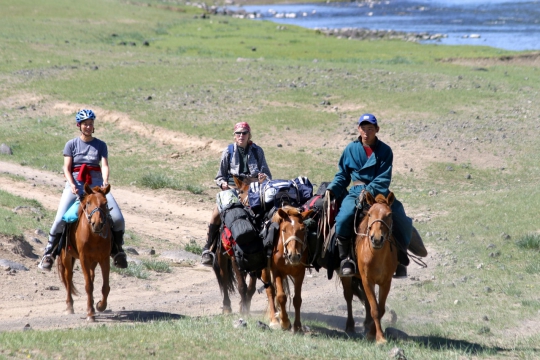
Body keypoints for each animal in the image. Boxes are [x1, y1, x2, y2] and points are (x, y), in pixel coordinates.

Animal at [57, 184, 112, 322]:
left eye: (105, 203)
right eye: (88, 203)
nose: (97, 223)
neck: (94, 236)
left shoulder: (104, 259)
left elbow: (105, 286)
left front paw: (100, 306)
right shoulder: (84, 258)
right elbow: (88, 286)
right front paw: (90, 314)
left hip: (93, 261)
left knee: (91, 276)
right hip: (67, 256)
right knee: (68, 277)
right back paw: (69, 306)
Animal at [344, 191, 398, 344]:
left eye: (389, 214)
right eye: (370, 214)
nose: (377, 239)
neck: (377, 256)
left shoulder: (386, 282)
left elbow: (380, 309)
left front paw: (372, 333)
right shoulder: (367, 281)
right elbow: (375, 309)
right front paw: (379, 338)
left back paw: (367, 324)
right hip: (347, 277)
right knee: (348, 296)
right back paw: (350, 325)